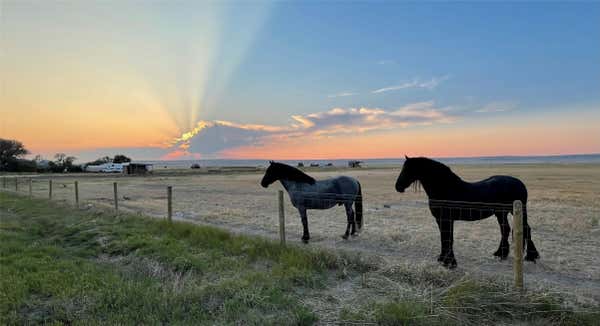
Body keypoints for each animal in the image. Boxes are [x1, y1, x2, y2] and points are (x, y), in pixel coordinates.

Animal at [396, 157, 540, 268]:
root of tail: (520, 183)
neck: (445, 188)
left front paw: (450, 262)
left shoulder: (447, 219)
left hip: (517, 212)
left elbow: (448, 238)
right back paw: (501, 254)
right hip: (501, 213)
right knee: (505, 229)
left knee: (526, 229)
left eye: (408, 169)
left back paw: (531, 256)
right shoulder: (440, 219)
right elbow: (444, 238)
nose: (398, 187)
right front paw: (442, 259)